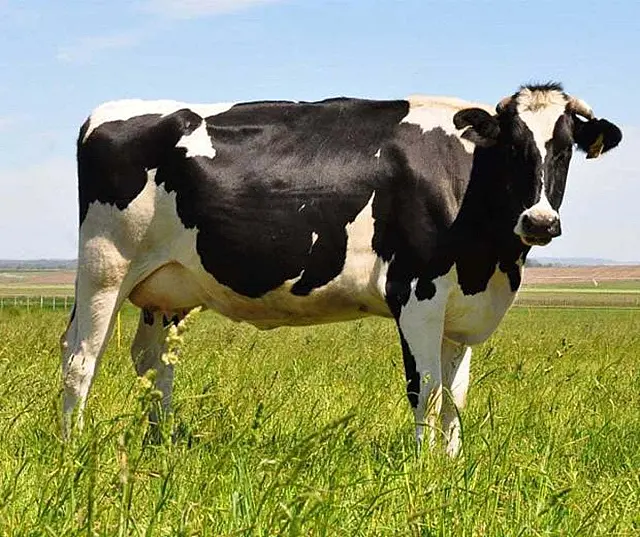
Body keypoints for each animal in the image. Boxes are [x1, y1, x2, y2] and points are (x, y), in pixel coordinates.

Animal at [61, 83, 622, 456]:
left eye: (564, 149)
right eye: (513, 147)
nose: (540, 221)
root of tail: (105, 113)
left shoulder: (462, 309)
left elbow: (455, 396)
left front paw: (453, 465)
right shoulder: (416, 293)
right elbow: (425, 390)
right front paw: (422, 469)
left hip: (167, 289)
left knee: (154, 365)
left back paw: (161, 445)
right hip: (105, 267)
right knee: (80, 358)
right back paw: (73, 448)